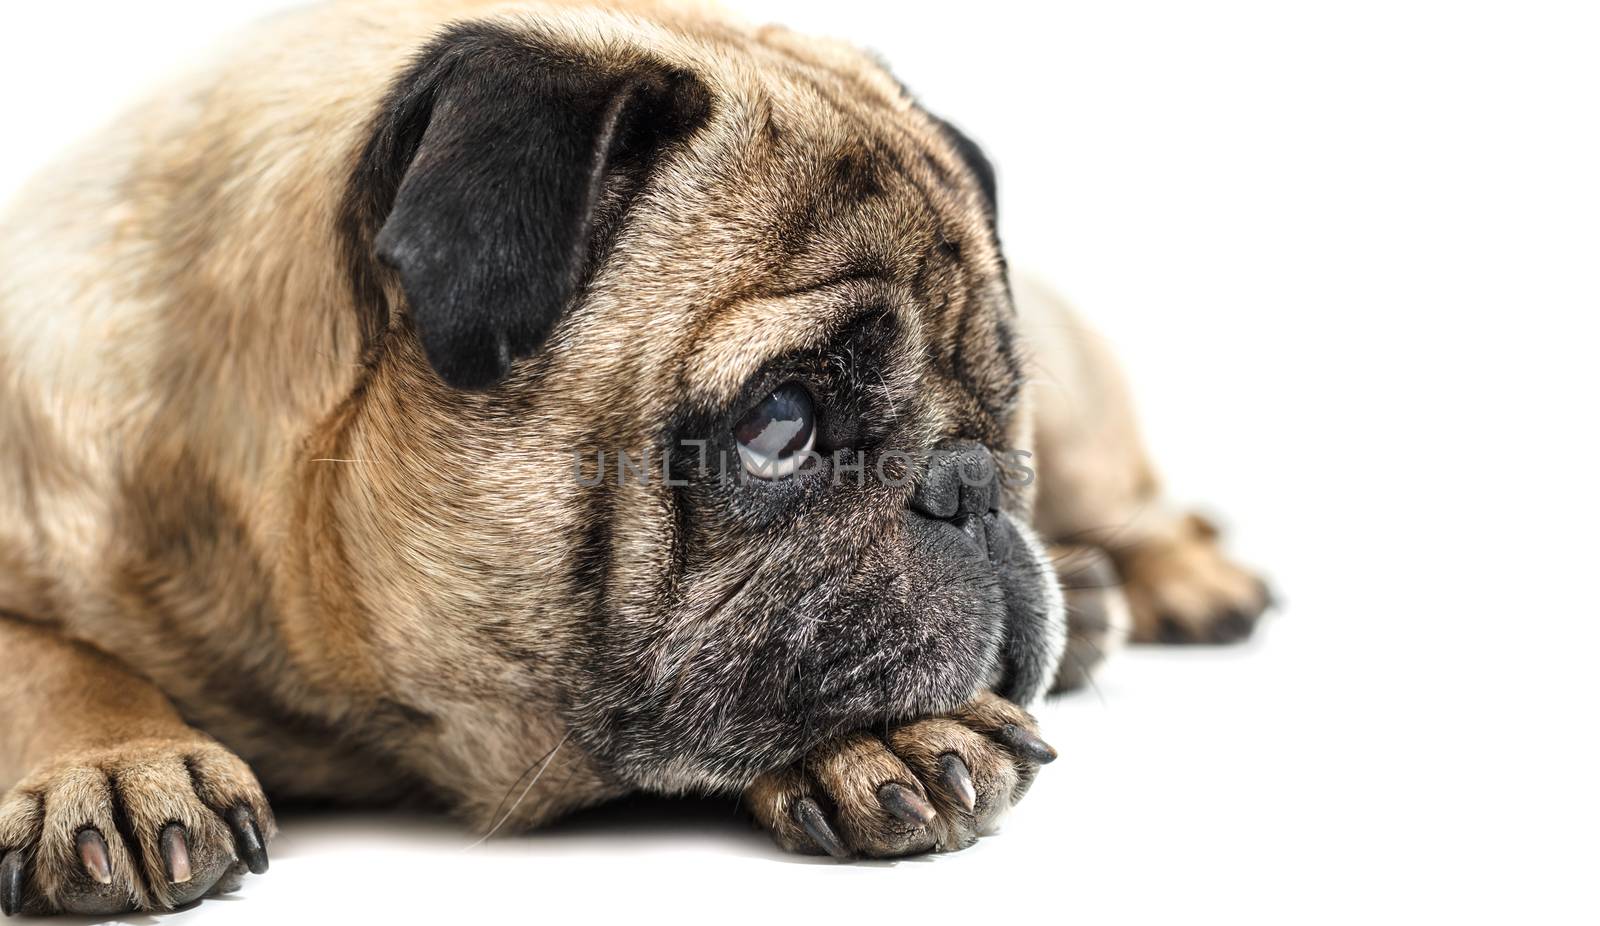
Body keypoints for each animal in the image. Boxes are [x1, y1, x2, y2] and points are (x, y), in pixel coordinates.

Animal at [0, 0, 1267, 914]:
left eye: (1003, 414)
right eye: (779, 422)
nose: (970, 481)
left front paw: (894, 731)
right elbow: (50, 658)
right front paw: (117, 761)